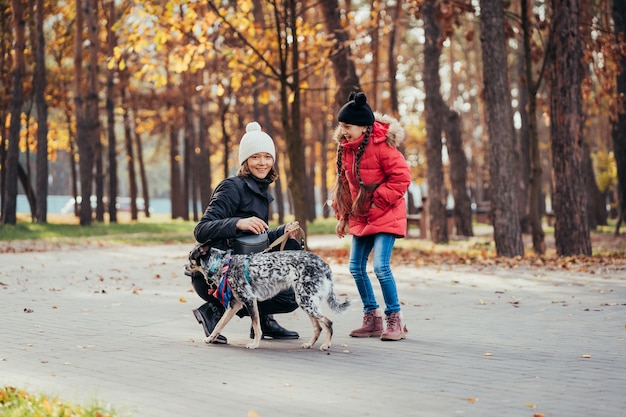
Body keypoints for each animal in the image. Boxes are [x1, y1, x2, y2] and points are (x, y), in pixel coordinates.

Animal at [185, 242, 352, 350]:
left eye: (190, 257)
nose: (184, 266)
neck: (223, 264)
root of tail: (325, 265)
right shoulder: (235, 305)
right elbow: (219, 324)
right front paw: (211, 338)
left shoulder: (249, 300)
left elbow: (256, 326)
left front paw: (254, 344)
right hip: (307, 301)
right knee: (318, 328)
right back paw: (310, 344)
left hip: (305, 302)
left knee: (328, 323)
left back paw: (326, 345)